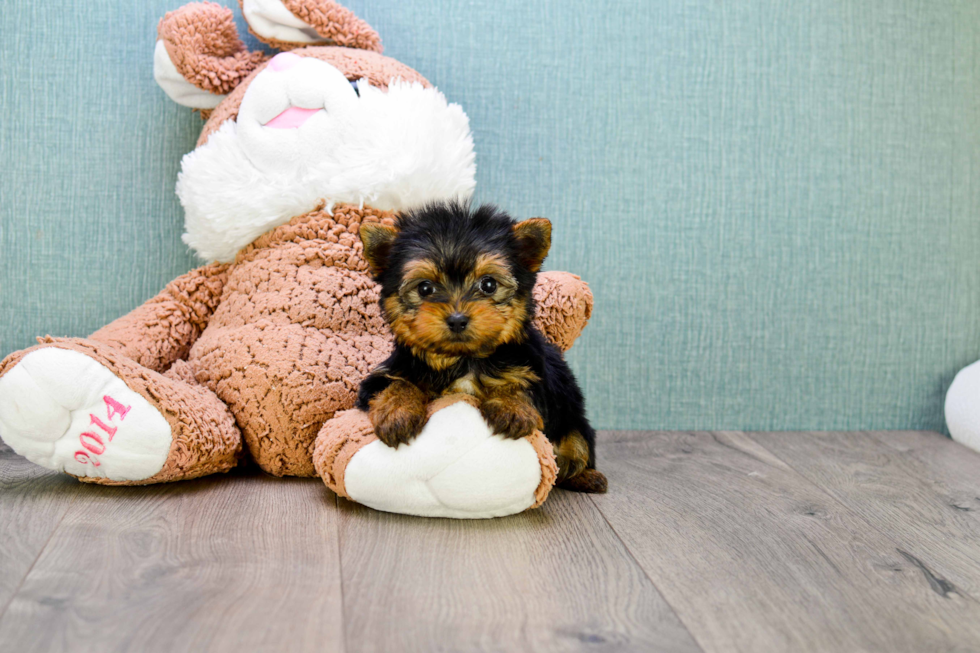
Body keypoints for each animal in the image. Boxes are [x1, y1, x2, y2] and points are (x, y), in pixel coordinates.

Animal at [356, 201, 608, 492]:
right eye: (425, 288)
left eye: (488, 284)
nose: (457, 319)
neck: (464, 358)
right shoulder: (383, 376)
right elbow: (397, 383)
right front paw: (397, 411)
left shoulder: (538, 378)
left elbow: (521, 386)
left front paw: (511, 407)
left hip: (573, 417)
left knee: (577, 445)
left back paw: (586, 476)